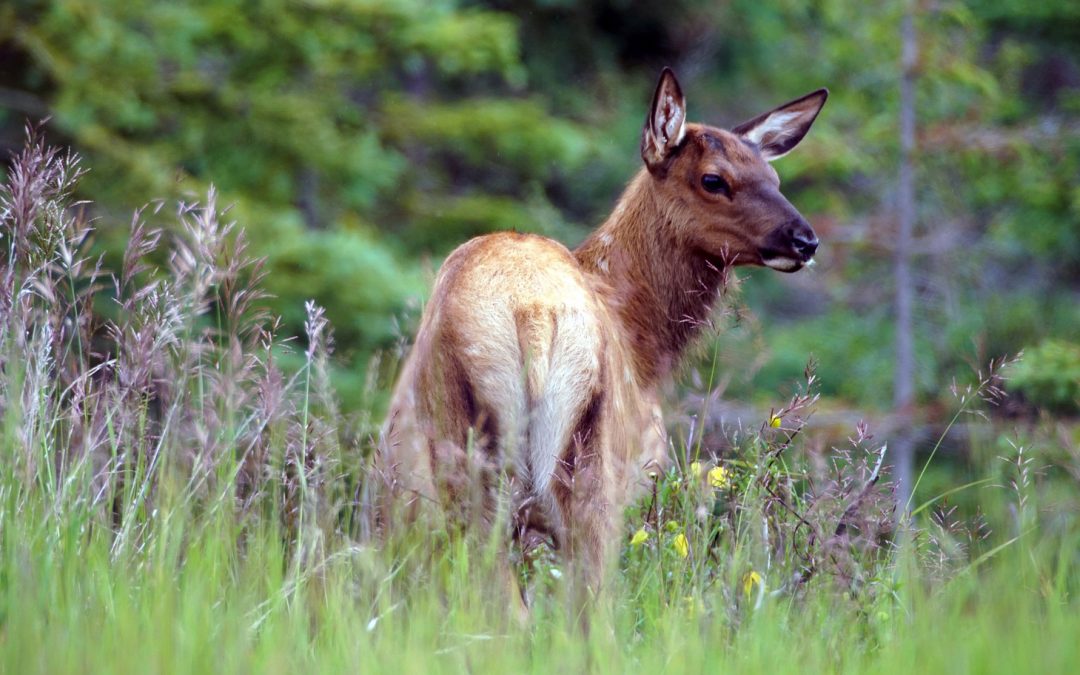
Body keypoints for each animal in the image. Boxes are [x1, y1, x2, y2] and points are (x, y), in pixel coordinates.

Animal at [378, 68, 828, 610]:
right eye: (713, 179)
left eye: (775, 179)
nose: (805, 240)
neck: (643, 343)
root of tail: (532, 313)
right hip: (583, 473)